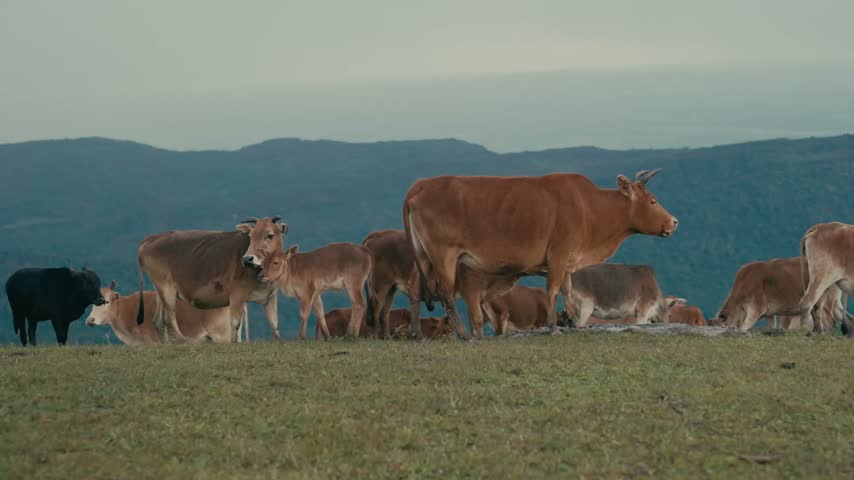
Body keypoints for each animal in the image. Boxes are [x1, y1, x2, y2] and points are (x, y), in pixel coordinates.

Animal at [136, 222, 280, 343]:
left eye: (270, 236)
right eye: (251, 237)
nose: (248, 259)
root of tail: (151, 238)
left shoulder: (269, 295)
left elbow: (273, 323)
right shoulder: (237, 295)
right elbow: (236, 323)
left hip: (159, 288)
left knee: (158, 321)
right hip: (166, 286)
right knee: (169, 319)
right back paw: (185, 342)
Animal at [403, 169, 678, 338]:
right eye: (653, 200)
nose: (674, 222)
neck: (589, 208)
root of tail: (421, 184)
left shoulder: (568, 260)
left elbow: (568, 290)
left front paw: (573, 323)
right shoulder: (558, 255)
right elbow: (553, 290)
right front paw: (553, 327)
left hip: (422, 257)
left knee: (416, 291)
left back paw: (418, 333)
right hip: (443, 254)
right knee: (447, 294)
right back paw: (463, 334)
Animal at [714, 257, 846, 332]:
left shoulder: (756, 307)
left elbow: (745, 326)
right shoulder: (769, 313)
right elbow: (770, 325)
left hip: (823, 301)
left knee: (829, 321)